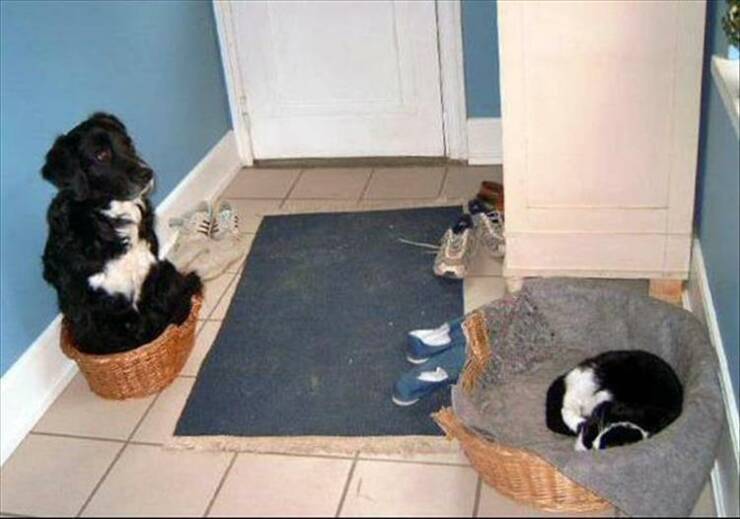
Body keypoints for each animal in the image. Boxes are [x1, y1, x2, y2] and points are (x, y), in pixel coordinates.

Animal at [41, 112, 202, 355]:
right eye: (101, 154)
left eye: (128, 144)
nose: (147, 173)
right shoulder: (91, 311)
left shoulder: (150, 279)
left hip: (165, 271)